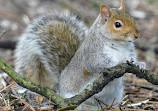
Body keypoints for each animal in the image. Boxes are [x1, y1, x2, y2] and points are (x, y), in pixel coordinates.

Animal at [14, 0, 146, 109]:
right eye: (117, 25)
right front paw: (122, 61)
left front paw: (140, 64)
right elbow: (101, 63)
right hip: (75, 100)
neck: (119, 44)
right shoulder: (93, 54)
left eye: (132, 19)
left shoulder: (129, 50)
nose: (137, 35)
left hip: (115, 97)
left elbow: (133, 58)